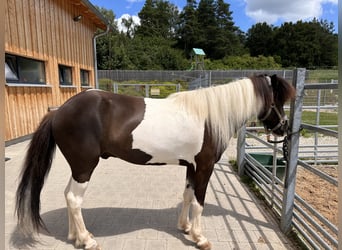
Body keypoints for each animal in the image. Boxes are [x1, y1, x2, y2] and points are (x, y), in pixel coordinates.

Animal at [16, 74, 294, 250]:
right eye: (277, 100)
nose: (284, 128)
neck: (208, 116)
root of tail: (59, 111)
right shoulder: (205, 167)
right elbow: (199, 203)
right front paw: (200, 238)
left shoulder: (191, 167)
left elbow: (187, 196)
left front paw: (184, 227)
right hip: (85, 167)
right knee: (74, 199)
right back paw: (88, 241)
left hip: (77, 168)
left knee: (68, 195)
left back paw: (76, 237)